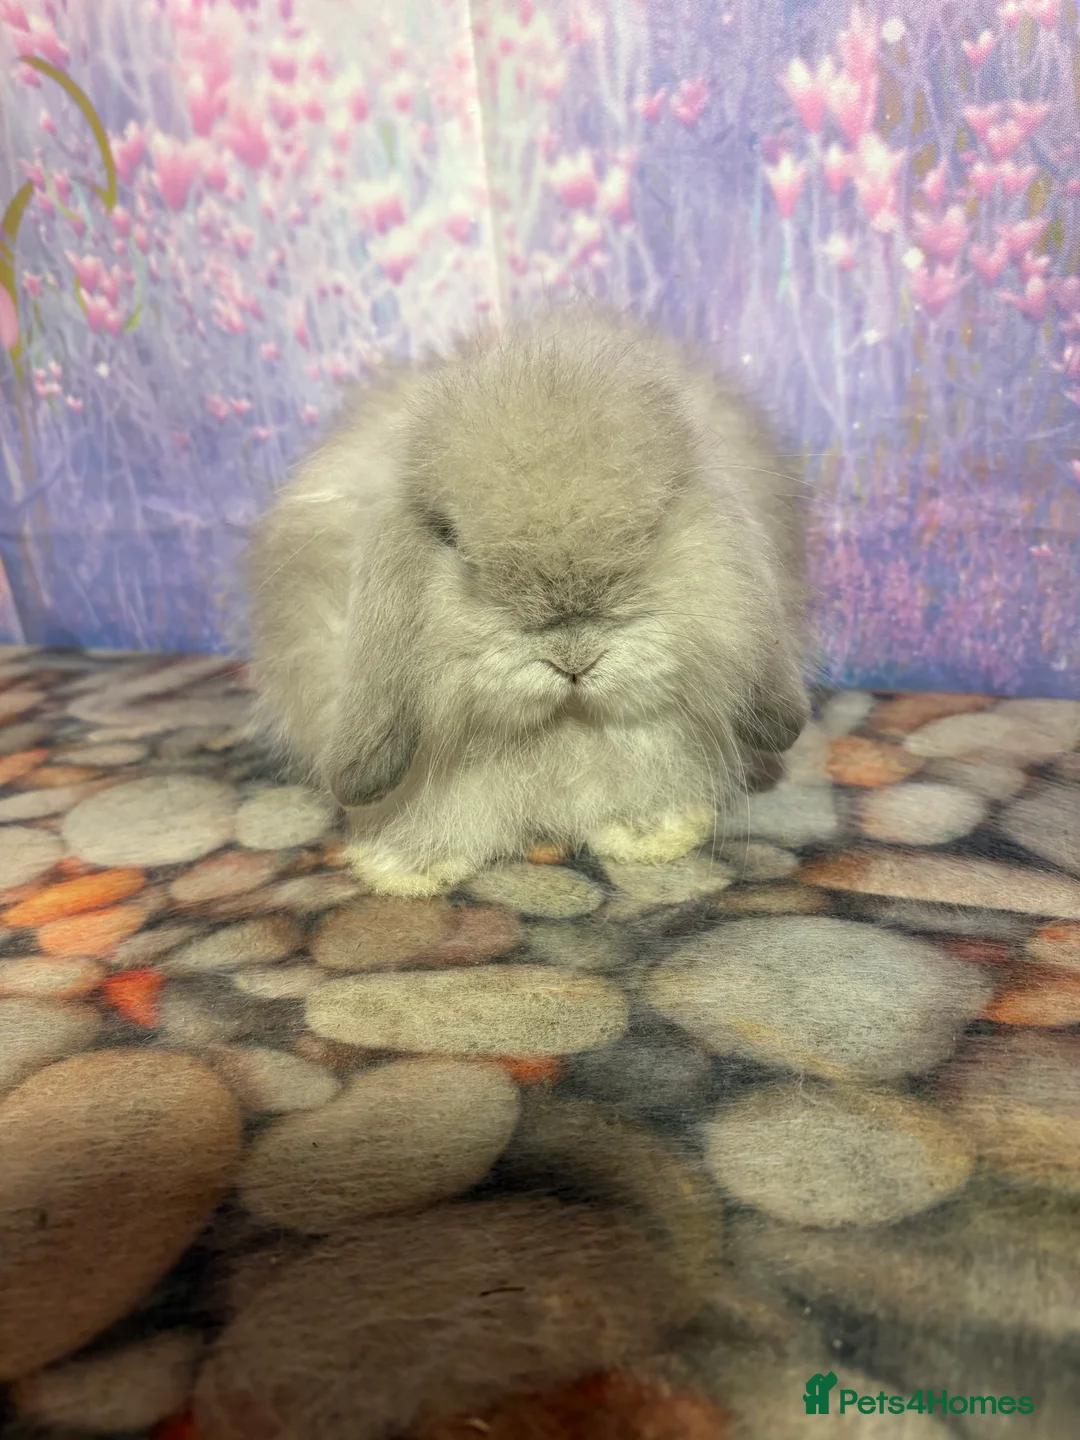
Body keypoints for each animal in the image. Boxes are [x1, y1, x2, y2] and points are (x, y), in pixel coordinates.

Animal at [247, 308, 810, 896]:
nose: (573, 657)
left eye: (653, 526)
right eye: (452, 539)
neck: (559, 741)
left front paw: (654, 835)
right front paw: (410, 871)